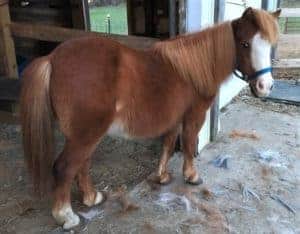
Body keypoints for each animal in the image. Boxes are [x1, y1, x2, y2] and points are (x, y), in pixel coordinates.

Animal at [19, 7, 280, 230]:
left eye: (270, 45)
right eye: (245, 44)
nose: (265, 86)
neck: (193, 68)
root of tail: (52, 58)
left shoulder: (174, 118)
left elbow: (168, 145)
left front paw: (162, 176)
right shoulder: (194, 115)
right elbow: (188, 144)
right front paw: (191, 176)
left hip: (83, 134)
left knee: (81, 164)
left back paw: (92, 198)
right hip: (86, 134)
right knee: (65, 168)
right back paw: (67, 216)